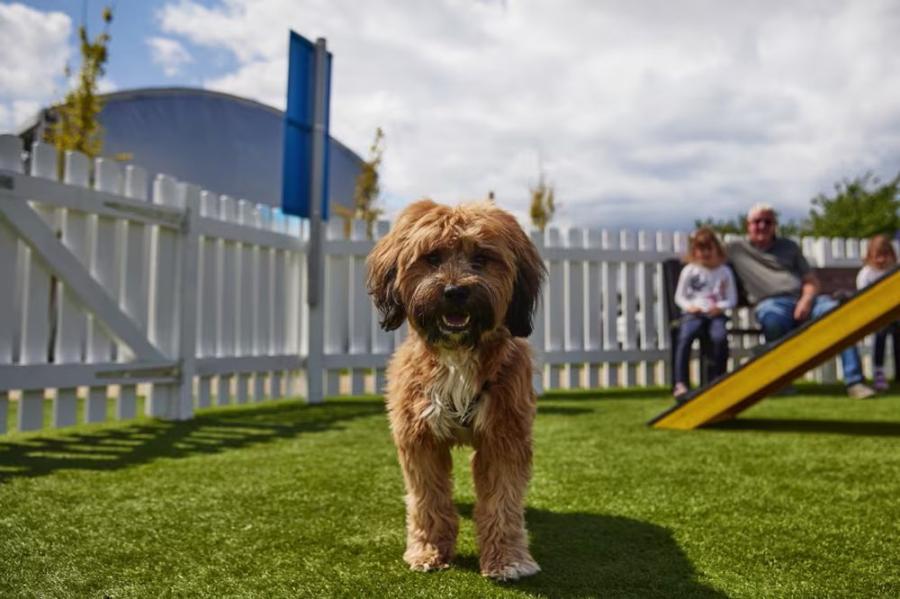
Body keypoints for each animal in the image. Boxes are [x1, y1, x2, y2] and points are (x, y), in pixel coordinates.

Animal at [368, 200, 548, 580]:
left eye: (481, 258)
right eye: (432, 257)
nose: (455, 292)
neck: (457, 356)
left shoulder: (504, 436)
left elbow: (502, 503)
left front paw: (507, 559)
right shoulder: (420, 438)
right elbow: (428, 499)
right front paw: (429, 551)